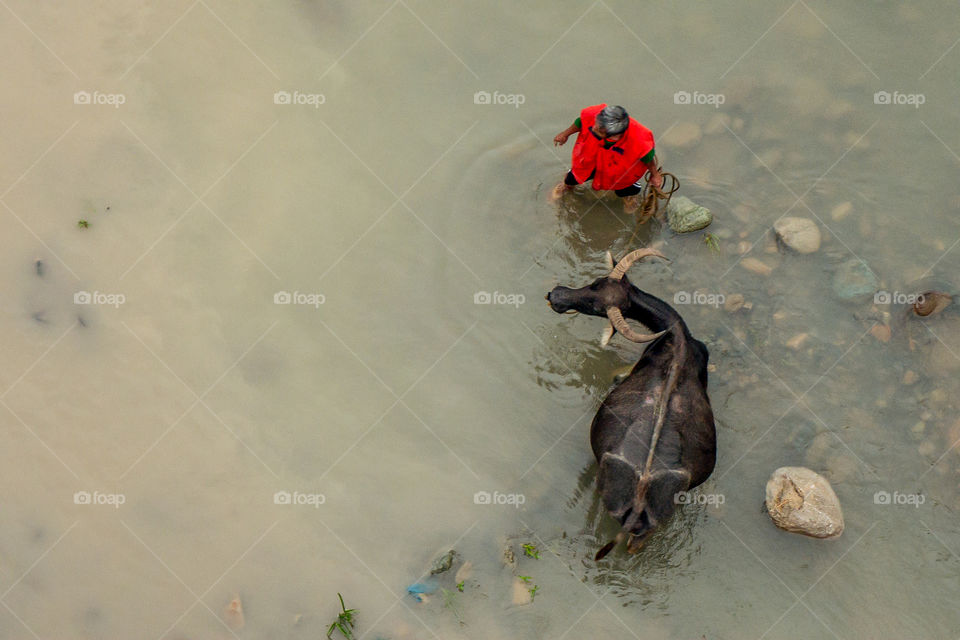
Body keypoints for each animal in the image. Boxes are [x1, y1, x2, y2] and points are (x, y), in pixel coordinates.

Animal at [544, 248, 716, 556]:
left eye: (596, 306)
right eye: (595, 282)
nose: (556, 295)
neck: (677, 337)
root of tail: (642, 490)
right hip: (648, 528)